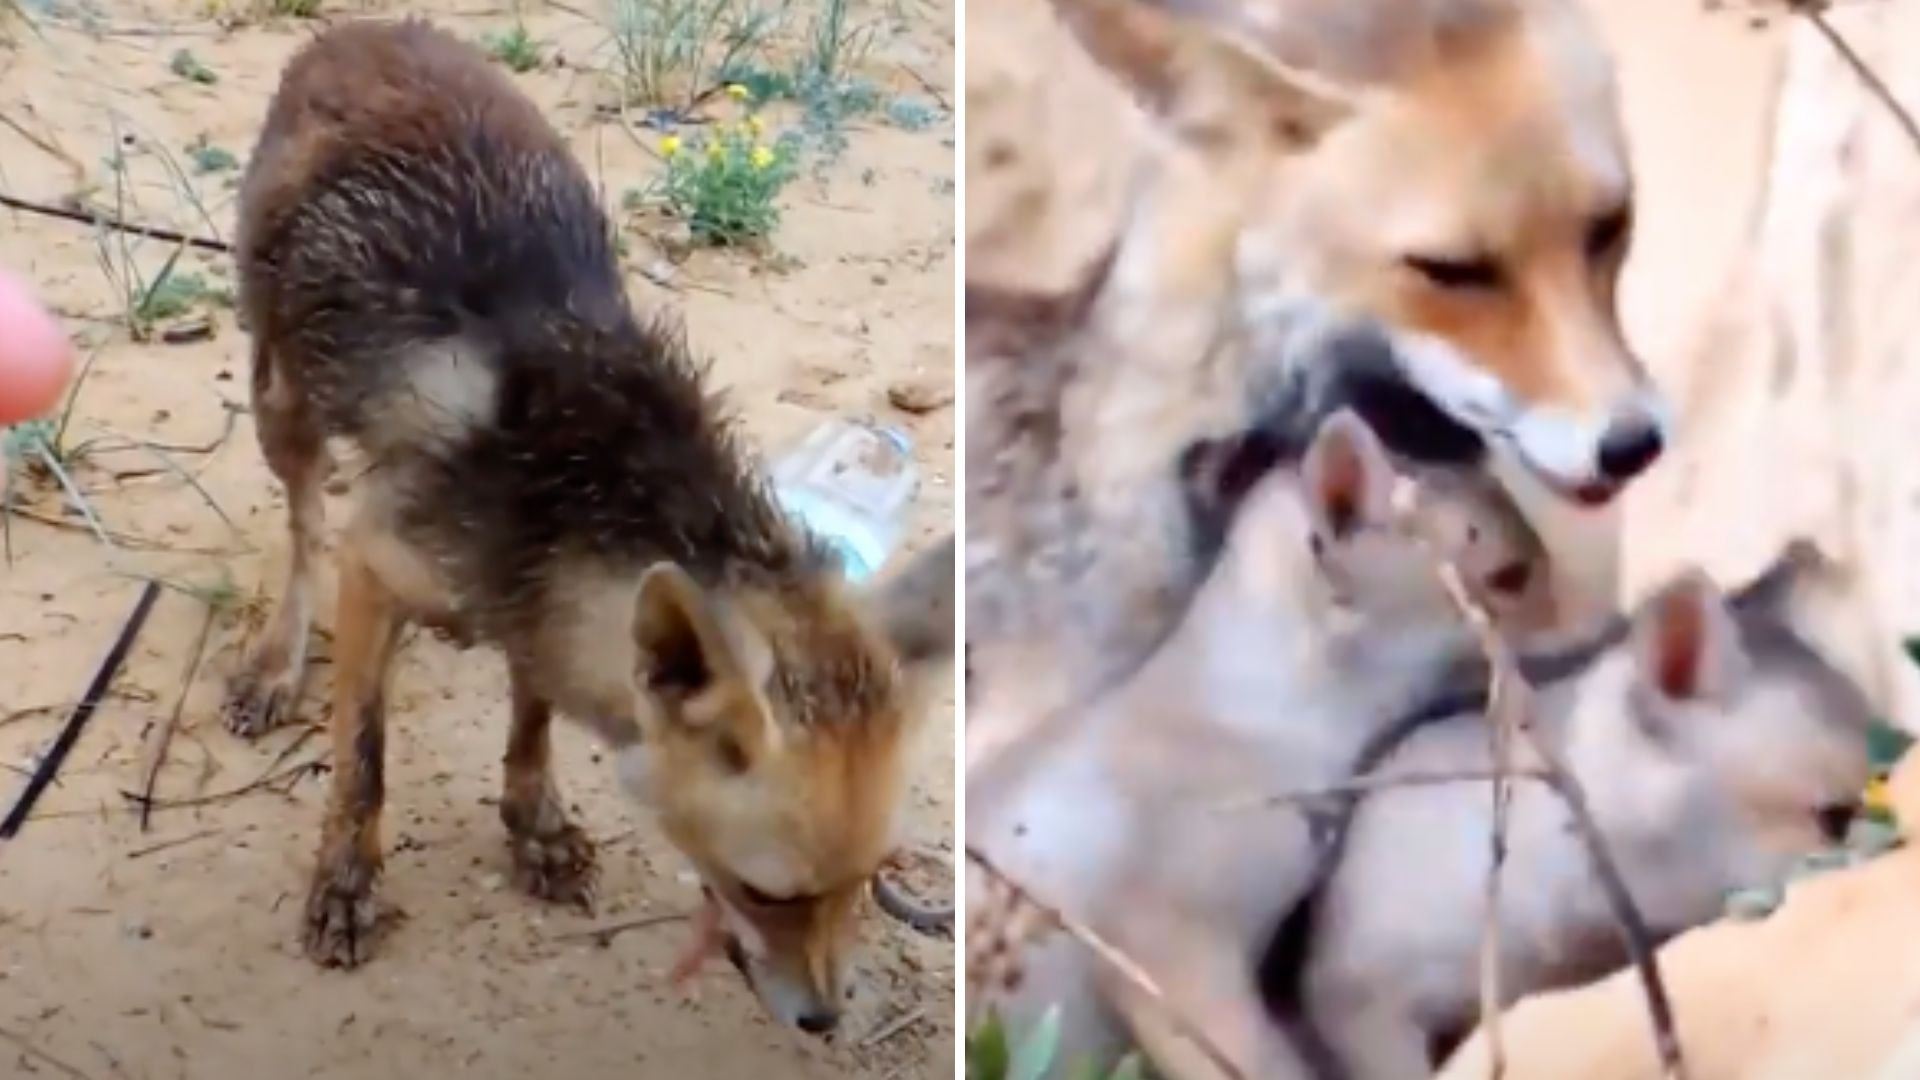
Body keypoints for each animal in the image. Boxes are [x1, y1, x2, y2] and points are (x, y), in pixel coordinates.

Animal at [224, 14, 952, 1022]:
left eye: (866, 882)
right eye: (766, 893)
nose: (823, 1020)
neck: (580, 473)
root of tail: (368, 29)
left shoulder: (533, 597)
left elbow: (532, 718)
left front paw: (535, 826)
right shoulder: (376, 565)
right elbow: (363, 764)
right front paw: (345, 885)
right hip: (283, 402)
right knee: (302, 533)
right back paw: (276, 663)